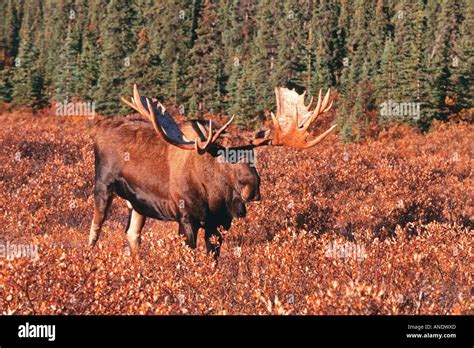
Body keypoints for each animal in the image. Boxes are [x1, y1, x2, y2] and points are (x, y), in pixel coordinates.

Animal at [88, 84, 334, 256]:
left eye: (253, 155)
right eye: (225, 157)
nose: (252, 188)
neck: (215, 196)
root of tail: (99, 128)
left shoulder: (221, 223)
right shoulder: (186, 218)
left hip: (137, 204)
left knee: (132, 234)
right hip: (103, 186)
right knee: (95, 230)